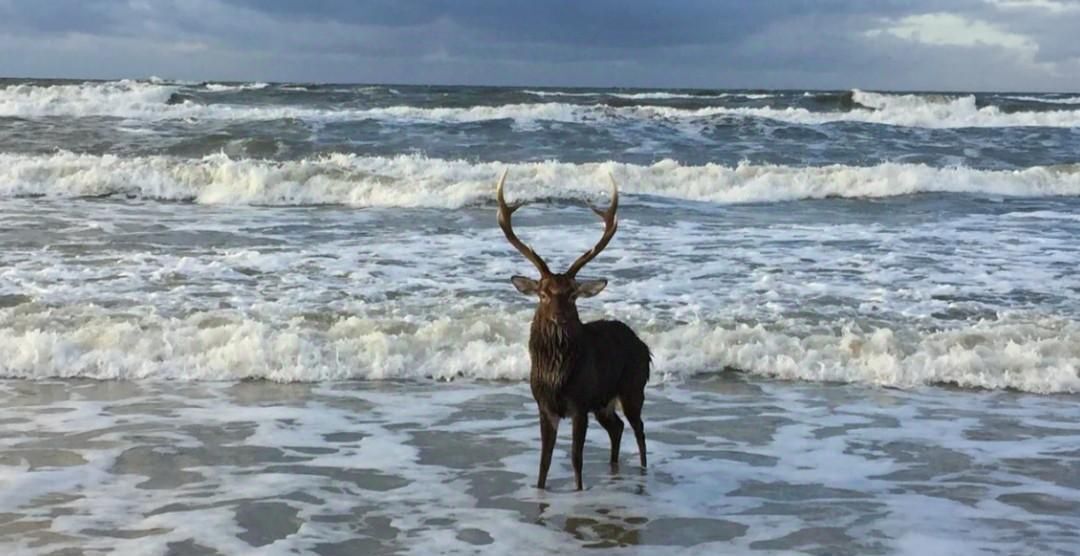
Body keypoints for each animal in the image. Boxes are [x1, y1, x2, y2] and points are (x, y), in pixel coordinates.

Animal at [494, 169, 648, 492]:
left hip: (633, 388)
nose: (560, 318)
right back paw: (614, 467)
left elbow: (576, 460)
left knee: (639, 429)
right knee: (617, 427)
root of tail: (645, 347)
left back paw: (642, 472)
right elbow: (544, 463)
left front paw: (578, 491)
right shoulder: (544, 406)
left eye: (573, 294)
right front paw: (540, 489)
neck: (556, 377)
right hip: (603, 403)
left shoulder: (580, 404)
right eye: (543, 294)